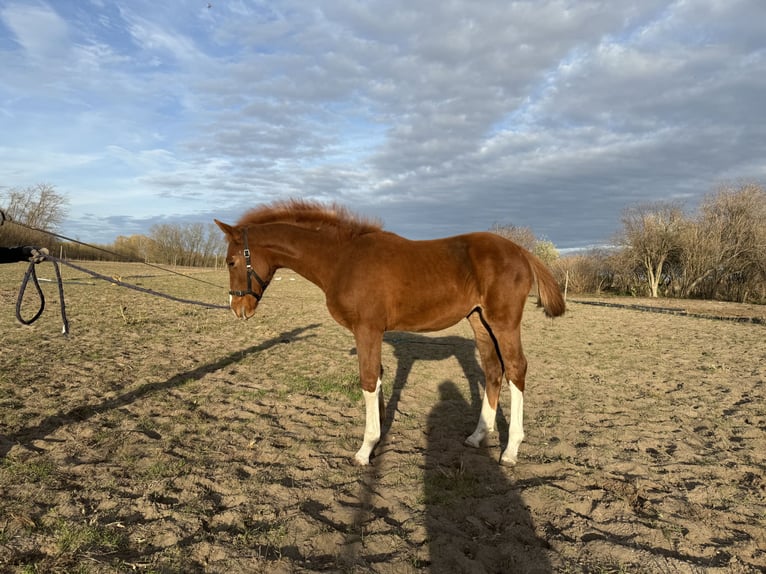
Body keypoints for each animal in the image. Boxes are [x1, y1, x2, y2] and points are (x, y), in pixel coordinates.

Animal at [215, 199, 565, 466]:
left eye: (231, 261)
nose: (238, 309)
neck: (344, 258)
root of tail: (521, 251)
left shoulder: (367, 329)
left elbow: (369, 379)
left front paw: (365, 450)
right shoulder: (373, 332)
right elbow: (379, 379)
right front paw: (378, 441)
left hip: (504, 322)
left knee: (516, 369)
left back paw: (510, 450)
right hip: (479, 320)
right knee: (493, 370)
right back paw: (477, 436)